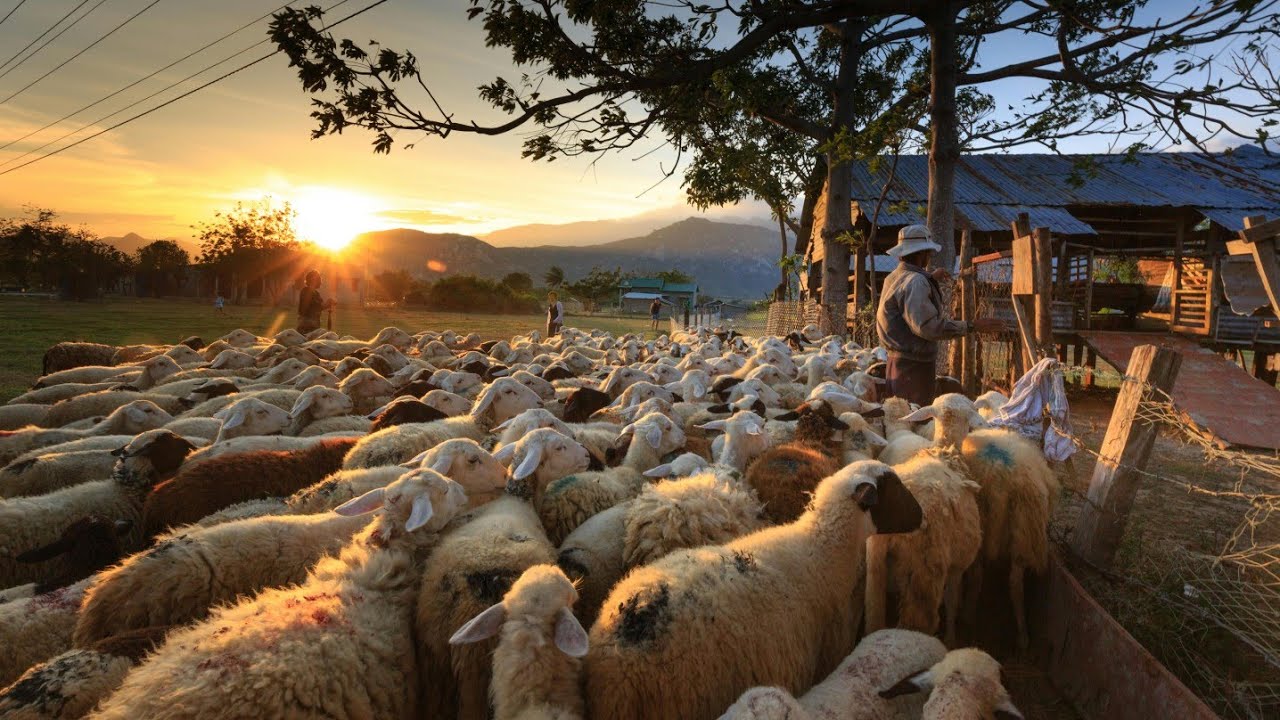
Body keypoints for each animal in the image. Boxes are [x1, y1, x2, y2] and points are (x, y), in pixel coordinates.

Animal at [864, 451, 982, 648]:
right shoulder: (957, 566)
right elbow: (952, 600)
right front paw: (951, 640)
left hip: (875, 568)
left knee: (874, 618)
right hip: (923, 572)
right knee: (919, 623)